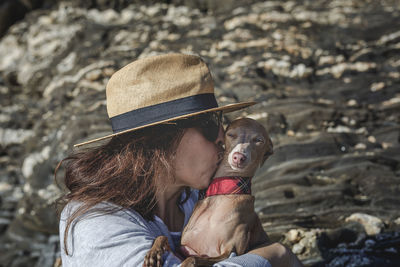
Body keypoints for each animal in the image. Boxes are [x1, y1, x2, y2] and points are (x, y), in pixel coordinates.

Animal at [143, 119, 272, 267]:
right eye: (231, 134)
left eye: (258, 140)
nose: (239, 157)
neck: (222, 195)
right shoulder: (184, 248)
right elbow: (163, 237)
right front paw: (154, 252)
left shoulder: (229, 251)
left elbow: (193, 259)